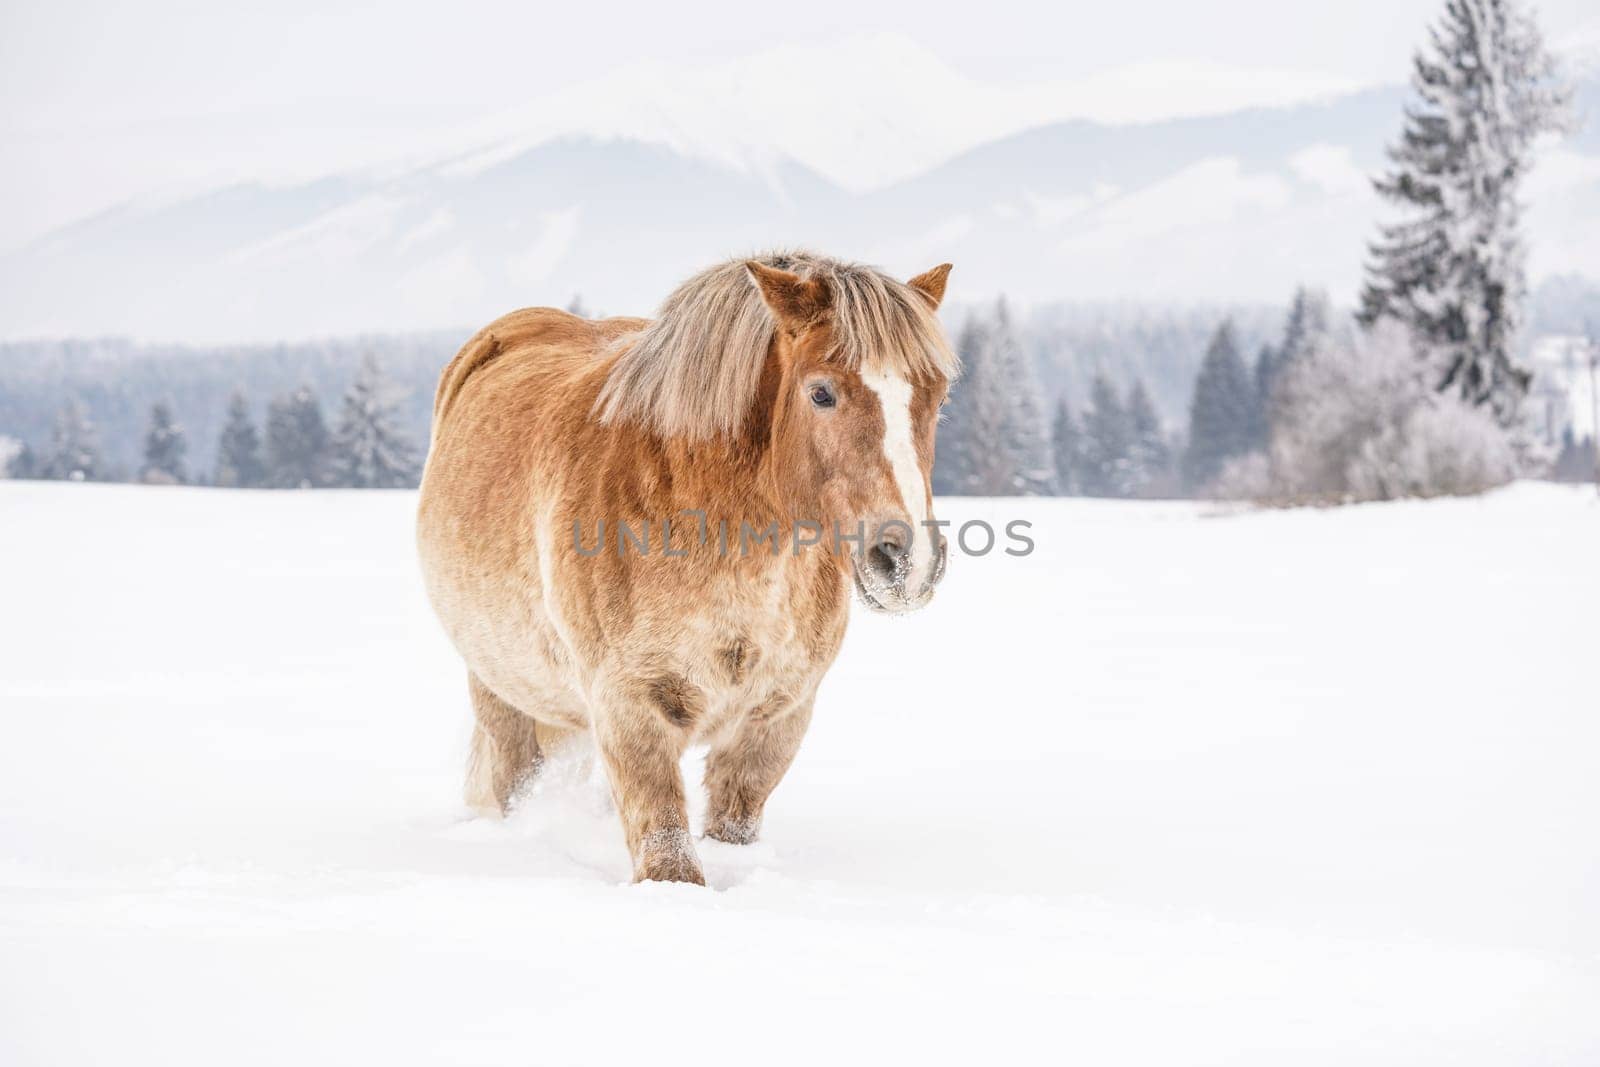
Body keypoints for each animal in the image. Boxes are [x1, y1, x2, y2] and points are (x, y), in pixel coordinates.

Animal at [419, 252, 953, 883]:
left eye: (938, 396)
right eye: (821, 394)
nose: (907, 562)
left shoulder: (777, 719)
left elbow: (733, 827)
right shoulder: (630, 711)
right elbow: (668, 855)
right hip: (502, 691)